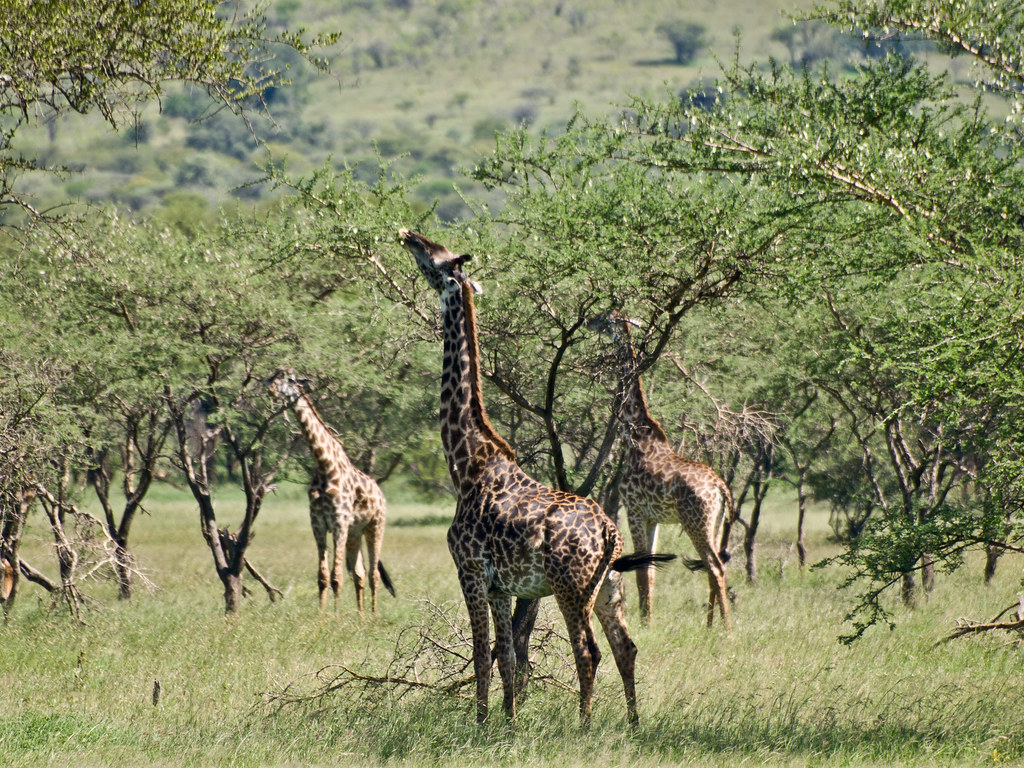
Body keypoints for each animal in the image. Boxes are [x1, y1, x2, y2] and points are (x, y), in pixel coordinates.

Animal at [266, 370, 393, 618]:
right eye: (271, 376)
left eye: (289, 379)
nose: (271, 390)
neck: (325, 465)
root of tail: (381, 494)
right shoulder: (318, 523)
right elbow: (323, 577)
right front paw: (322, 616)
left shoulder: (339, 522)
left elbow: (336, 576)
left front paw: (334, 617)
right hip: (355, 533)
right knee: (360, 572)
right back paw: (361, 617)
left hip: (375, 526)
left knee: (373, 573)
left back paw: (374, 616)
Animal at [397, 228, 671, 729]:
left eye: (437, 257)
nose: (408, 235)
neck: (467, 463)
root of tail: (609, 534)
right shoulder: (502, 585)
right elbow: (507, 655)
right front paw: (507, 721)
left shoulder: (469, 571)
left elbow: (482, 656)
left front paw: (482, 723)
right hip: (609, 587)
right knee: (626, 648)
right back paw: (633, 724)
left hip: (571, 587)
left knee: (588, 652)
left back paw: (584, 727)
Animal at [585, 311, 737, 630]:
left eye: (606, 317)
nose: (589, 321)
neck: (636, 437)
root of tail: (721, 488)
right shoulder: (652, 517)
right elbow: (651, 571)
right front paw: (648, 619)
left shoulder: (634, 509)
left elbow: (643, 571)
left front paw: (645, 624)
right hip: (715, 524)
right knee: (714, 567)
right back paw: (709, 625)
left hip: (696, 522)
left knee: (715, 567)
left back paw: (727, 629)